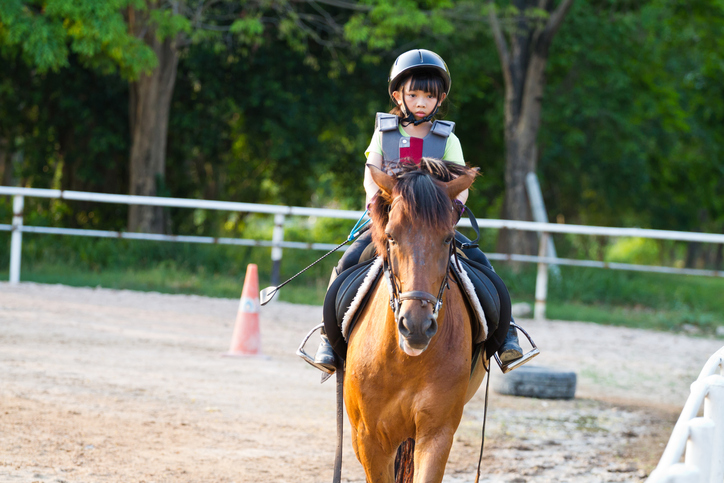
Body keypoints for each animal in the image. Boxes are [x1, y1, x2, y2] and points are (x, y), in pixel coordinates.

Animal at [344, 161, 486, 482]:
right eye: (391, 236)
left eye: (447, 238)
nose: (417, 327)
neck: (403, 361)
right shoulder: (368, 439)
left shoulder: (436, 433)